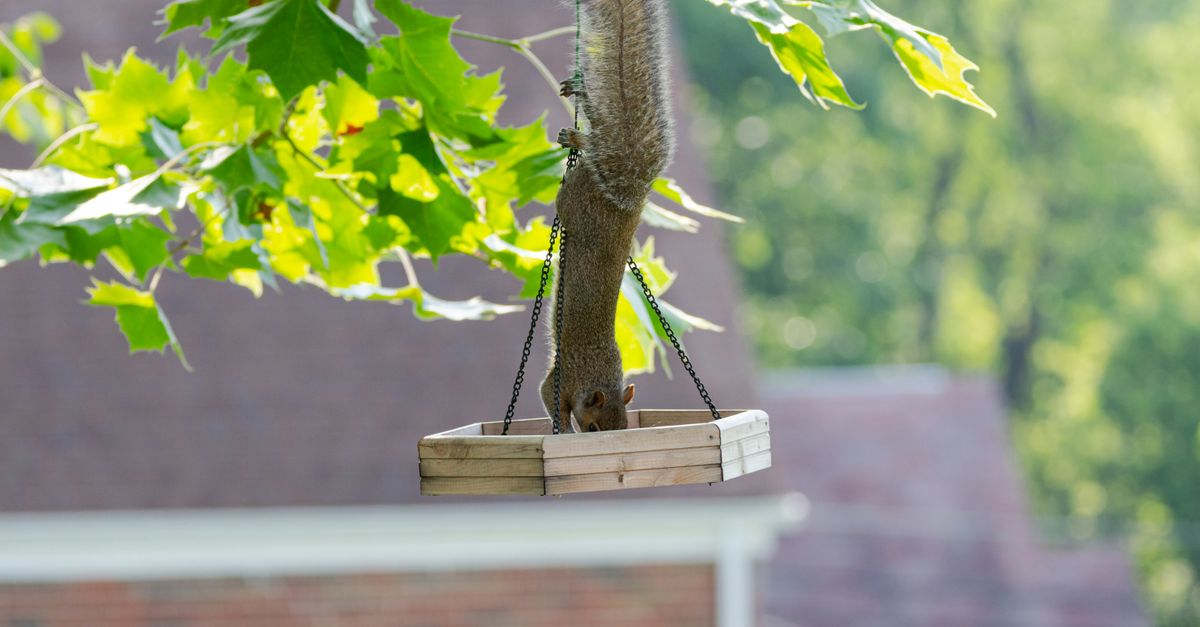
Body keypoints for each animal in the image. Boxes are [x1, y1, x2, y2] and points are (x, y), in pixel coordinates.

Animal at [539, 0, 675, 433]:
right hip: (575, 202)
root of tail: (627, 202)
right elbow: (548, 397)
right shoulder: (562, 376)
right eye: (595, 428)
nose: (600, 439)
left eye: (626, 428)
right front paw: (563, 432)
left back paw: (578, 135)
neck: (596, 374)